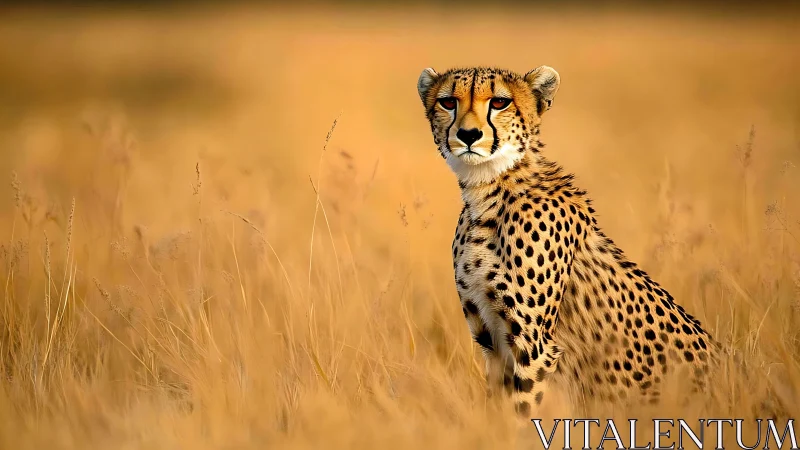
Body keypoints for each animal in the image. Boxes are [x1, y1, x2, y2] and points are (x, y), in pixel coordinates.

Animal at [415, 65, 725, 420]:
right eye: (448, 102)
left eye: (500, 102)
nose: (468, 135)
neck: (488, 191)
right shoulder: (490, 340)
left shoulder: (533, 347)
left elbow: (523, 412)